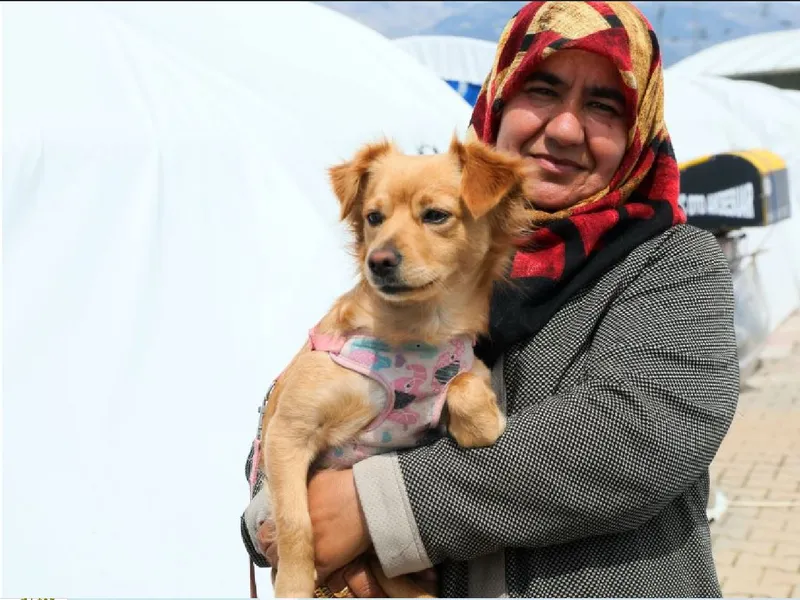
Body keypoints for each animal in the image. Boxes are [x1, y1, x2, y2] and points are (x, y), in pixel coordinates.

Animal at [262, 134, 532, 596]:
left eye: (436, 215)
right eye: (374, 217)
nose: (380, 260)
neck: (418, 332)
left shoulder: (464, 368)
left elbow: (464, 383)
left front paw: (481, 419)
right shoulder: (286, 433)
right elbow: (295, 525)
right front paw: (293, 587)